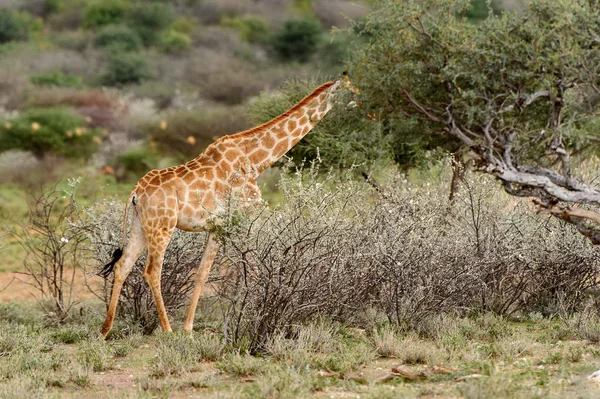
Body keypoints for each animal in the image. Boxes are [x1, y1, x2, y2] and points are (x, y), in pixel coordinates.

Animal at [100, 78, 344, 338]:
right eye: (349, 89)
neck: (255, 160)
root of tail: (135, 192)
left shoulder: (217, 228)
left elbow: (203, 273)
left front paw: (189, 329)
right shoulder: (246, 218)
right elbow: (252, 268)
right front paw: (253, 319)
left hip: (141, 225)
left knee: (123, 264)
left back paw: (106, 329)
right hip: (162, 226)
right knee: (152, 270)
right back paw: (166, 329)